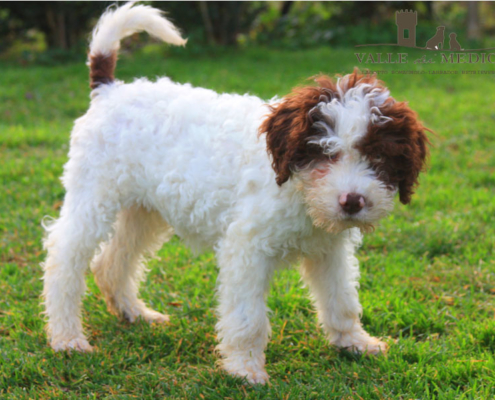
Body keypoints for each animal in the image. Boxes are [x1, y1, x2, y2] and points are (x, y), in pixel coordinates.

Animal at [41, 2, 430, 384]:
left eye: (378, 158)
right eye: (325, 152)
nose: (352, 202)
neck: (295, 187)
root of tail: (109, 89)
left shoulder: (328, 249)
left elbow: (341, 299)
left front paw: (354, 343)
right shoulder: (246, 248)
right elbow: (248, 317)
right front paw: (245, 369)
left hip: (143, 209)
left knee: (110, 262)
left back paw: (133, 312)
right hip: (94, 195)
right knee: (64, 258)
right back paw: (67, 338)